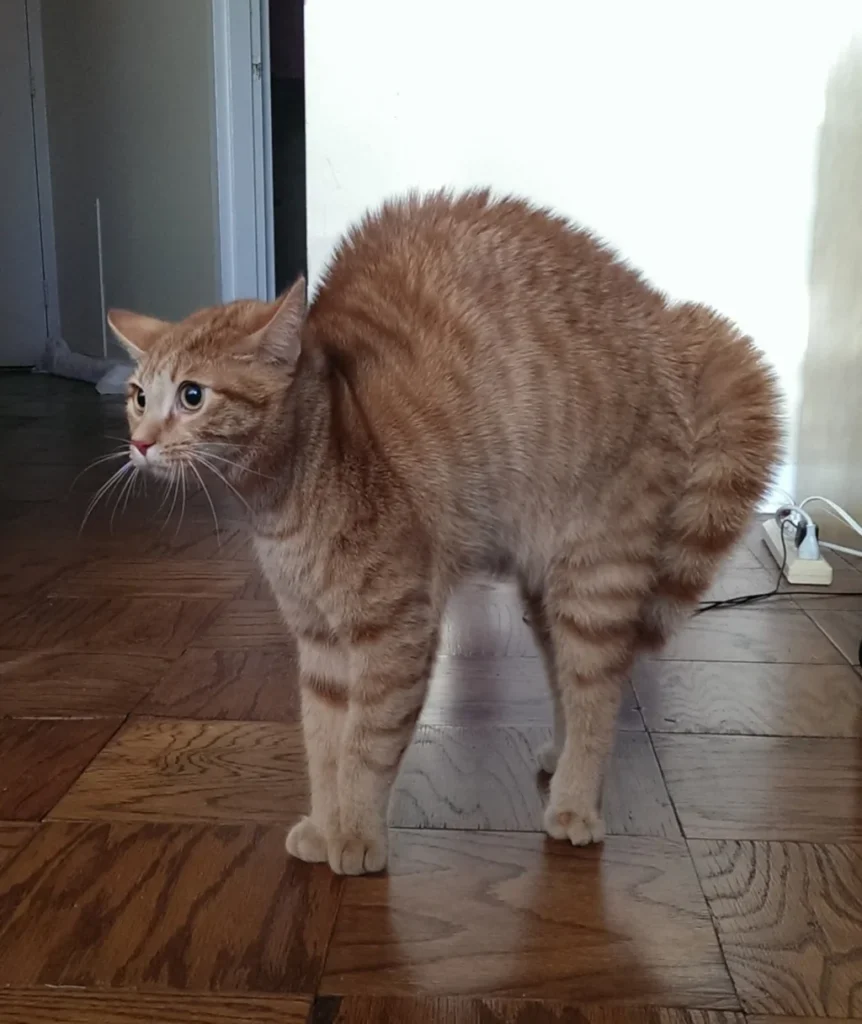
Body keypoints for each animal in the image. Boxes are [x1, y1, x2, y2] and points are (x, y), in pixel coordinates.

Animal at [105, 190, 778, 872]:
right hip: (545, 596)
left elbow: (366, 746)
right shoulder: (320, 644)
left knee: (598, 693)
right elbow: (324, 744)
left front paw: (356, 834)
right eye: (138, 396)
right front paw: (325, 823)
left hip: (595, 579)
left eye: (192, 396)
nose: (140, 444)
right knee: (567, 683)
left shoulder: (394, 632)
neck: (288, 497)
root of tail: (664, 318)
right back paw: (559, 761)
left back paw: (575, 803)